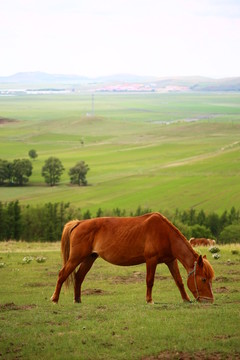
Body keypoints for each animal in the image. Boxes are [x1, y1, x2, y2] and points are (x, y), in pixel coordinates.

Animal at [51, 212, 216, 306]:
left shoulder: (171, 261)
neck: (165, 234)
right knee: (62, 274)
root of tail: (79, 223)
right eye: (203, 279)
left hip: (88, 259)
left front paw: (186, 299)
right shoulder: (151, 260)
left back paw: (77, 299)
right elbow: (150, 281)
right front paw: (149, 300)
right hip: (76, 258)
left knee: (79, 277)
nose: (209, 300)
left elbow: (179, 281)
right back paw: (55, 299)